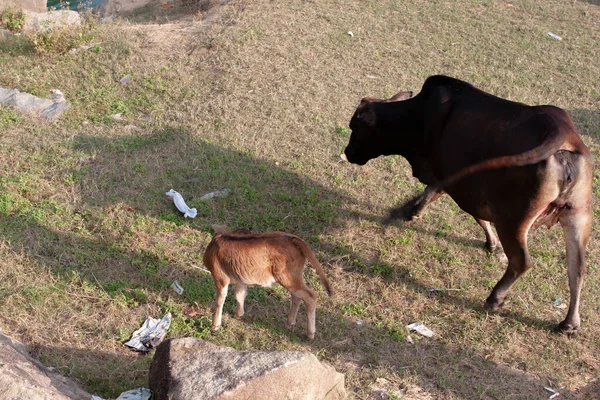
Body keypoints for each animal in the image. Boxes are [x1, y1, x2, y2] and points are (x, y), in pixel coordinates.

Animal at [344, 76, 592, 334]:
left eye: (356, 127)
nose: (347, 152)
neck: (417, 113)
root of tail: (562, 132)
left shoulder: (453, 181)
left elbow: (442, 199)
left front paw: (407, 211)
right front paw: (490, 243)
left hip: (512, 220)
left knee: (521, 262)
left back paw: (495, 298)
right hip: (578, 217)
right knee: (577, 269)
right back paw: (569, 323)